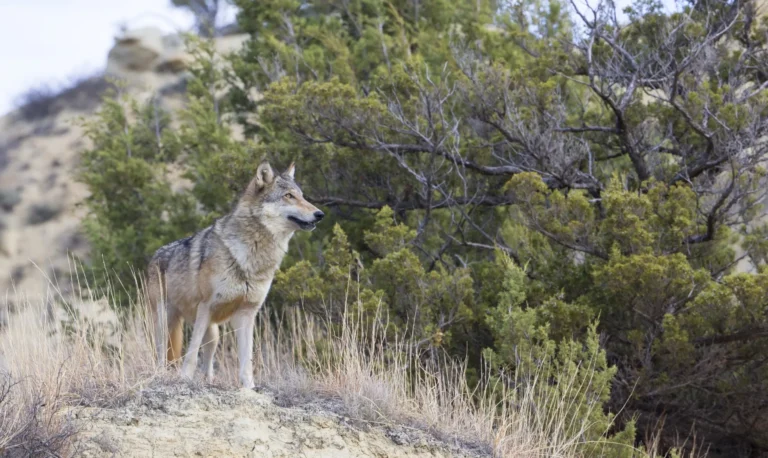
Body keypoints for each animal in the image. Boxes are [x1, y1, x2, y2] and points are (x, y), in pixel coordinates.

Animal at [146, 161, 324, 388]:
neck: (251, 257)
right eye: (288, 196)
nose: (320, 214)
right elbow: (191, 354)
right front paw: (184, 378)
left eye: (302, 196)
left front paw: (249, 387)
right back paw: (161, 375)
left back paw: (209, 381)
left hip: (213, 333)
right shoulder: (206, 306)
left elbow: (246, 360)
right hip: (166, 323)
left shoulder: (247, 313)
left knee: (208, 363)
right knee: (162, 356)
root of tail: (155, 255)